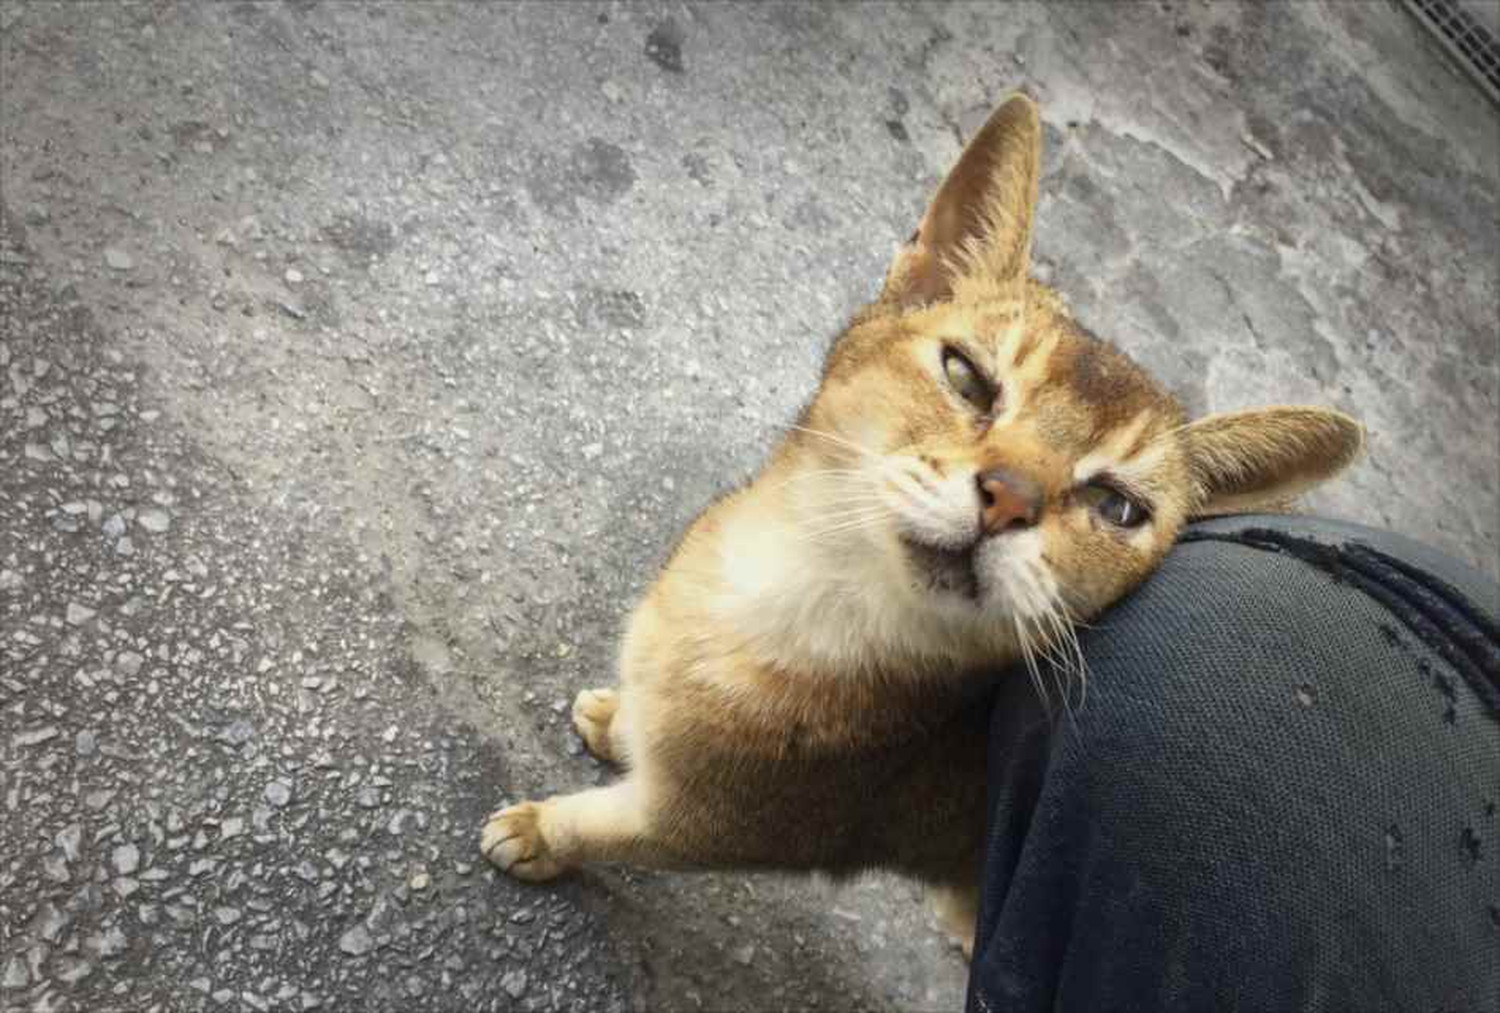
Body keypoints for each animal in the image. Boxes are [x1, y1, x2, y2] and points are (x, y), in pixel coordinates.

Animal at [478, 92, 1363, 955]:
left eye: (1117, 505)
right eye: (967, 378)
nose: (1008, 497)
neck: (786, 600)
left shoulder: (710, 826)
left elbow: (607, 828)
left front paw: (541, 832)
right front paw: (620, 717)